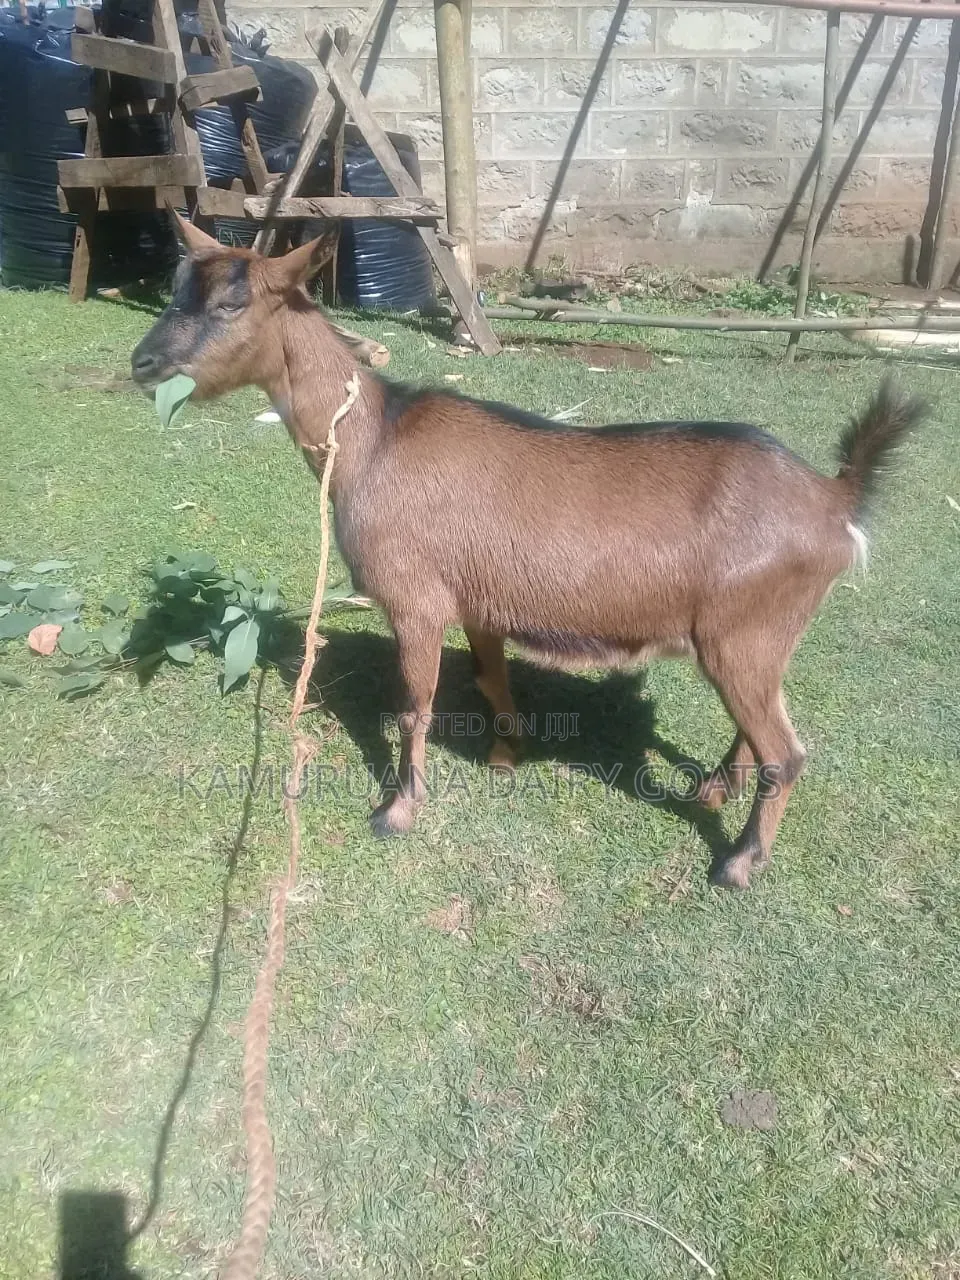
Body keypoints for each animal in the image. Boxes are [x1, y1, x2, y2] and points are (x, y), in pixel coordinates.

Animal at [131, 217, 925, 889]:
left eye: (233, 303)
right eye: (177, 287)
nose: (143, 362)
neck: (372, 439)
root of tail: (834, 499)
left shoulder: (416, 600)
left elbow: (415, 708)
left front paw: (399, 811)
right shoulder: (478, 602)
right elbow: (492, 680)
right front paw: (506, 753)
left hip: (743, 633)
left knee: (787, 752)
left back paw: (738, 862)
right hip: (753, 637)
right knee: (759, 727)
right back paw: (714, 788)